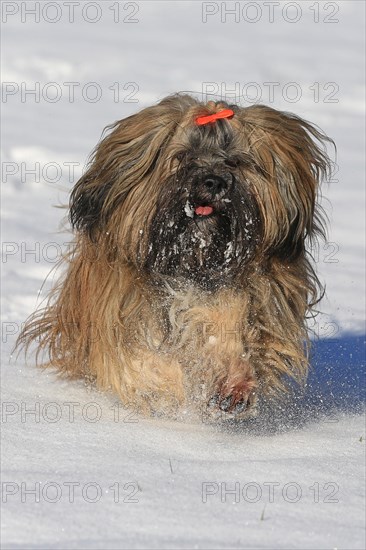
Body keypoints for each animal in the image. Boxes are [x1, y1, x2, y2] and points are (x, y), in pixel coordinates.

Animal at [17, 95, 332, 420]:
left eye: (234, 161)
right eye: (183, 157)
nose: (213, 182)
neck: (194, 261)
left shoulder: (257, 298)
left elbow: (233, 322)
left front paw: (233, 383)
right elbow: (141, 359)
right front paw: (167, 387)